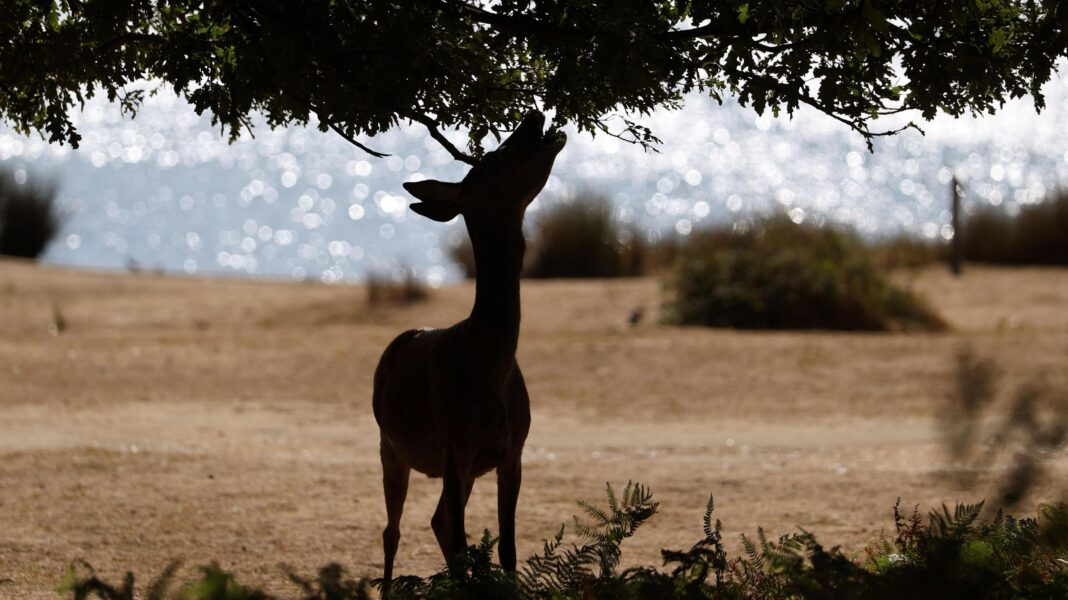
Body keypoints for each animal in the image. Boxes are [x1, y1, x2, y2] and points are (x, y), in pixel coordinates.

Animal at [372, 111, 566, 595]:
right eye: (494, 158)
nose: (534, 115)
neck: (488, 367)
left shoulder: (512, 452)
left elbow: (507, 550)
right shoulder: (455, 447)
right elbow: (462, 544)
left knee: (436, 520)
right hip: (390, 444)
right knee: (393, 530)